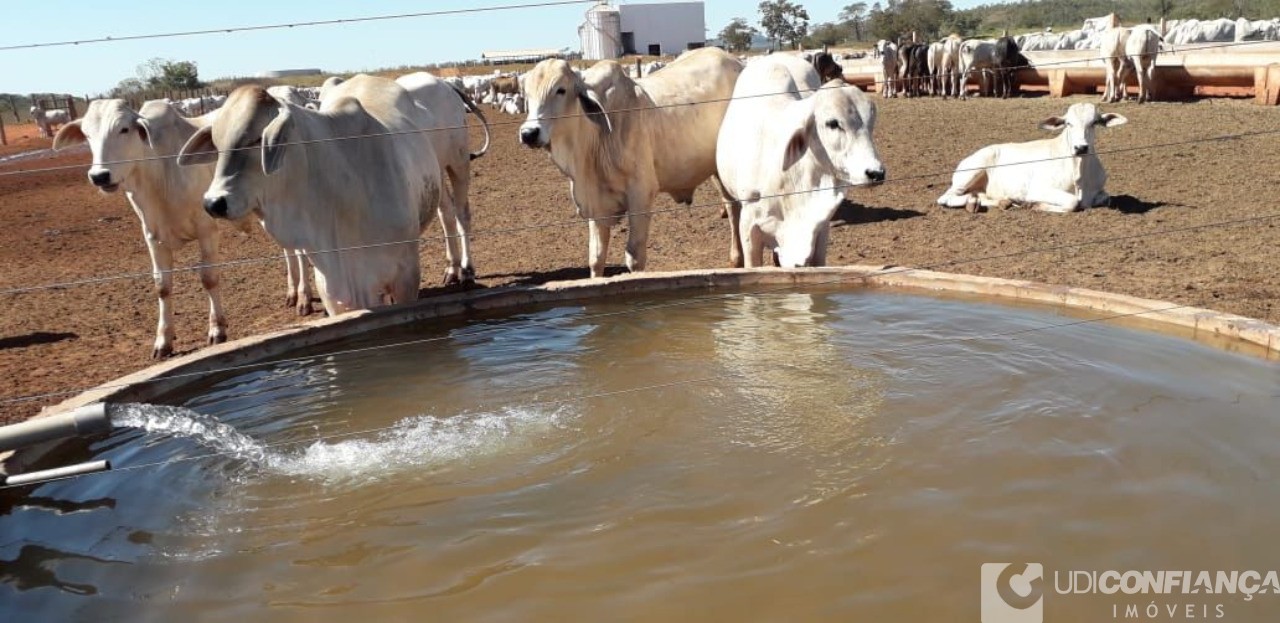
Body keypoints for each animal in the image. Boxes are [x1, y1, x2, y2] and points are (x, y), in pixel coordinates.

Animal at [54, 100, 235, 358]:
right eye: (87, 134)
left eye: (124, 129)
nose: (99, 176)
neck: (159, 170)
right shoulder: (152, 235)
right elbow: (162, 287)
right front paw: (163, 341)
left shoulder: (207, 229)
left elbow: (209, 278)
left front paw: (217, 330)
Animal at [517, 49, 747, 278]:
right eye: (527, 94)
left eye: (561, 90)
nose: (529, 133)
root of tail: (735, 60)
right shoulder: (596, 205)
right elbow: (596, 258)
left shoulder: (640, 195)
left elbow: (634, 257)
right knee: (731, 205)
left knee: (734, 207)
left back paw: (737, 259)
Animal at [716, 54, 885, 268]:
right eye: (832, 123)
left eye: (871, 123)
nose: (876, 173)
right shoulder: (749, 226)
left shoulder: (821, 226)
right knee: (731, 210)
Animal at [936, 104, 1126, 214]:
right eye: (1068, 123)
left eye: (1094, 122)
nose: (1081, 147)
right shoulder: (1036, 189)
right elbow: (1072, 202)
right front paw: (1035, 205)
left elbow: (1106, 198)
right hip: (971, 172)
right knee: (945, 198)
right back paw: (972, 203)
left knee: (979, 195)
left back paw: (1000, 202)